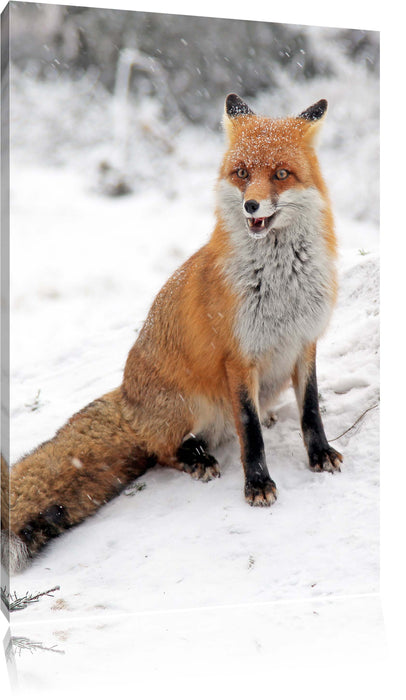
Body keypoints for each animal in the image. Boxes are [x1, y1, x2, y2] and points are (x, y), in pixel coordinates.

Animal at [1, 93, 343, 574]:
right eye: (242, 173)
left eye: (280, 174)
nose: (251, 207)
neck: (280, 286)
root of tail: (126, 398)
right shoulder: (238, 358)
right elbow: (250, 433)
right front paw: (257, 484)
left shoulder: (305, 342)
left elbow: (310, 410)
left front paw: (319, 455)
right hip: (192, 405)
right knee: (163, 449)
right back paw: (195, 458)